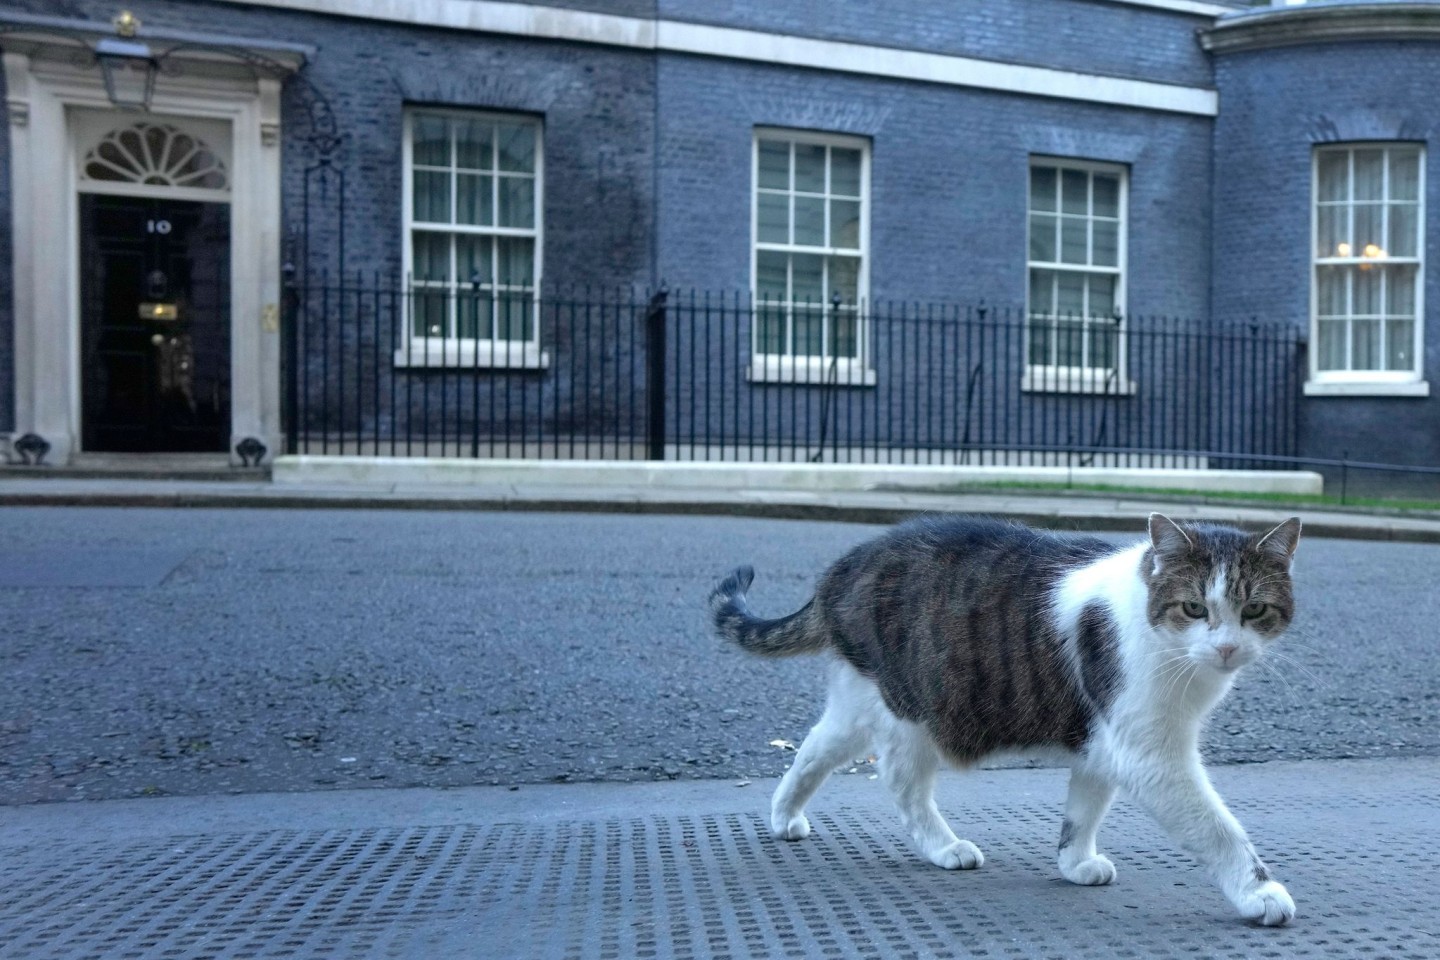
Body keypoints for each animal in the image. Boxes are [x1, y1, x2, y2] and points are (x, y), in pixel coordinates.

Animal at [708, 515, 1307, 926]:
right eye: (1194, 608)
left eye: (1254, 610)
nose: (1227, 648)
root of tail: (841, 568)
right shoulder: (1150, 754)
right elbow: (1218, 828)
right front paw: (1258, 892)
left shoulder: (1102, 738)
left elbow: (1084, 809)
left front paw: (1075, 862)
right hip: (911, 713)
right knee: (902, 786)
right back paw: (943, 847)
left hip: (861, 700)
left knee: (813, 748)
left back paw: (784, 814)